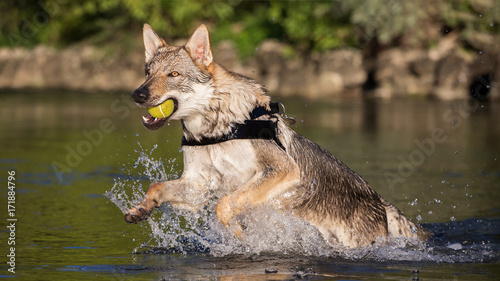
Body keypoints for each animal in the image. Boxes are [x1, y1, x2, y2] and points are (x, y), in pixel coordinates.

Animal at [125, 24, 430, 247]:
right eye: (148, 72)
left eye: (174, 74)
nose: (137, 94)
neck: (216, 130)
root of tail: (379, 200)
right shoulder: (199, 186)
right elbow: (157, 187)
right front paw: (141, 208)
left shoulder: (282, 170)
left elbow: (224, 205)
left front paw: (240, 235)